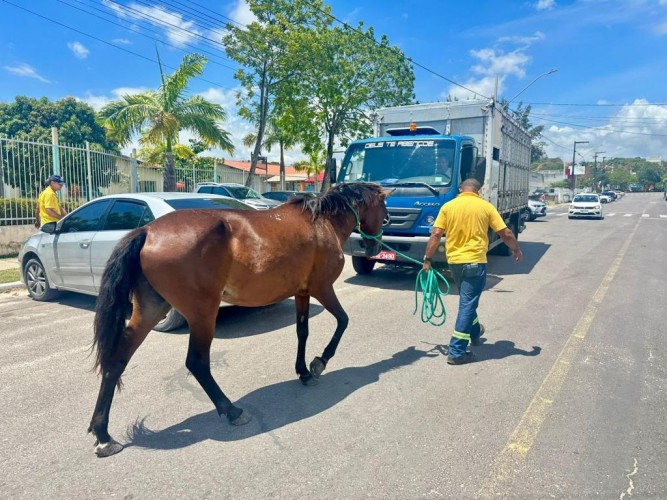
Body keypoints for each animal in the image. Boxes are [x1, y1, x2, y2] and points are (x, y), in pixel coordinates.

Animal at [89, 183, 392, 458]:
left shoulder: (302, 293)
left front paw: (304, 371)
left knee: (117, 360)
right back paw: (232, 410)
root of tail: (147, 231)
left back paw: (103, 435)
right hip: (203, 314)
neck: (320, 222)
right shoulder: (323, 289)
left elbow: (302, 332)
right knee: (197, 362)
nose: (374, 246)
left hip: (151, 311)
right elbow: (343, 321)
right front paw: (319, 363)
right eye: (385, 213)